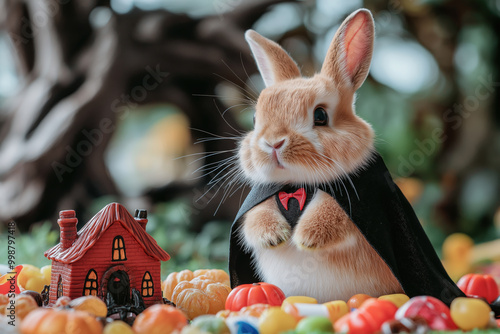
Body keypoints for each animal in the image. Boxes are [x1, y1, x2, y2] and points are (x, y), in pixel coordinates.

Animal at [233, 9, 402, 302]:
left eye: (320, 115)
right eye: (255, 118)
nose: (273, 143)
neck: (296, 187)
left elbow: (331, 215)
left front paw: (305, 239)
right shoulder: (261, 202)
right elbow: (255, 219)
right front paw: (274, 237)